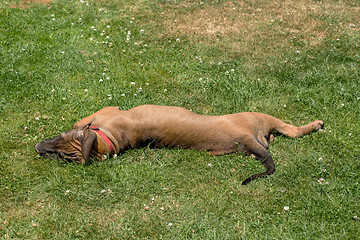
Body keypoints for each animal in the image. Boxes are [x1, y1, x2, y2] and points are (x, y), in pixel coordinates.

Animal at [35, 104, 324, 185]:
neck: (110, 139)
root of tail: (248, 141)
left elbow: (81, 120)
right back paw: (313, 124)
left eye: (60, 139)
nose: (38, 149)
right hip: (259, 117)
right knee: (291, 130)